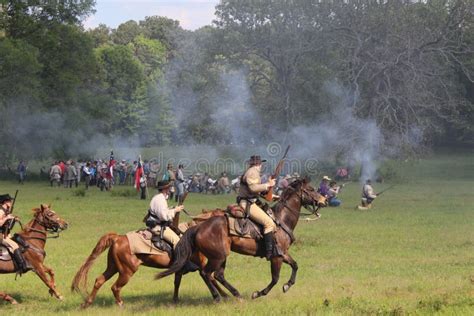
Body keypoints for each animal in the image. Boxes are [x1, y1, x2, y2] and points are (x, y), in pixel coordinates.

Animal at [157, 178, 328, 302]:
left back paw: (235, 294)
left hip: (221, 256)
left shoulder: (282, 253)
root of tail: (198, 227)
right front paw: (258, 293)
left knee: (217, 275)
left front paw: (287, 285)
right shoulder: (276, 257)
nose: (324, 201)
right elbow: (275, 278)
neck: (281, 220)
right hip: (218, 256)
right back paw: (218, 297)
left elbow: (295, 265)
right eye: (311, 189)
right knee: (207, 273)